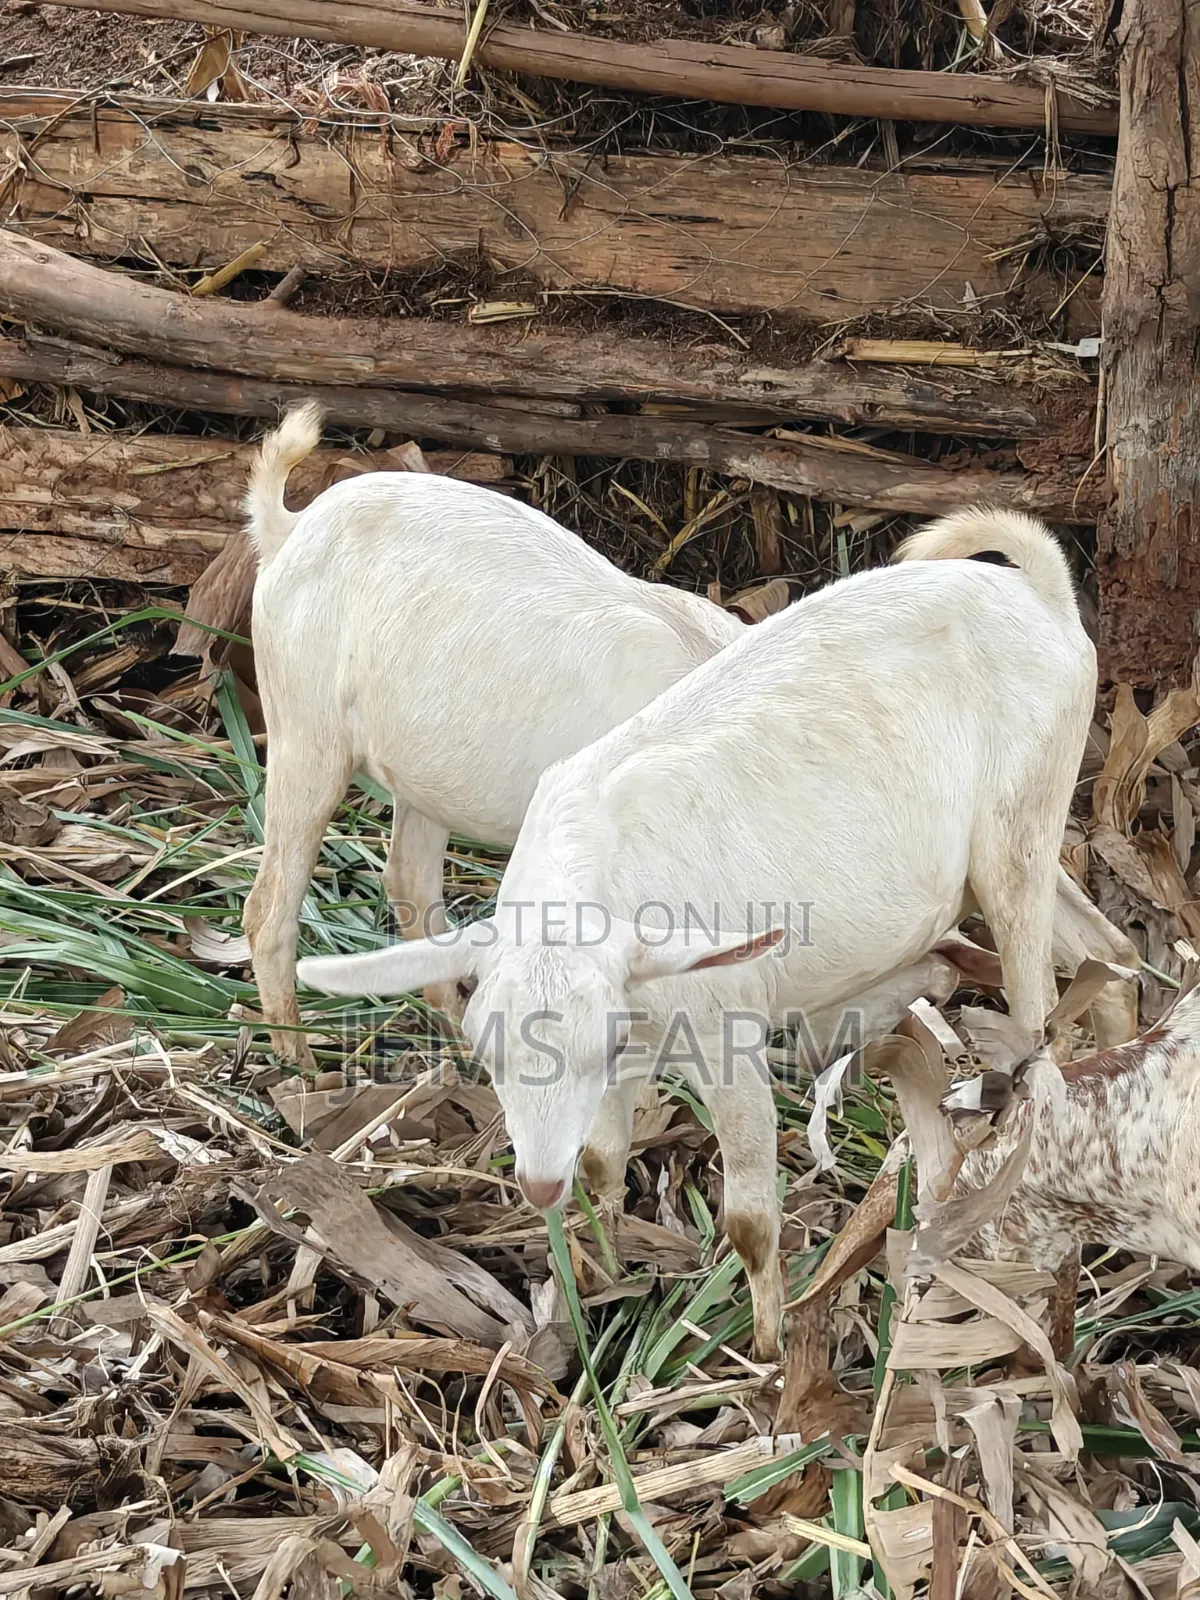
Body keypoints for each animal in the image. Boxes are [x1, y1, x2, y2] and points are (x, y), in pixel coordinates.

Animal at [297, 506, 1097, 1359]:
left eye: (603, 1043)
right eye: (486, 1050)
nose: (536, 1183)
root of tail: (1042, 595)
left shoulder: (724, 1030)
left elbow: (748, 1219)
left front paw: (768, 1353)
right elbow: (602, 1163)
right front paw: (605, 1272)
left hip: (1021, 834)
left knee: (1042, 1006)